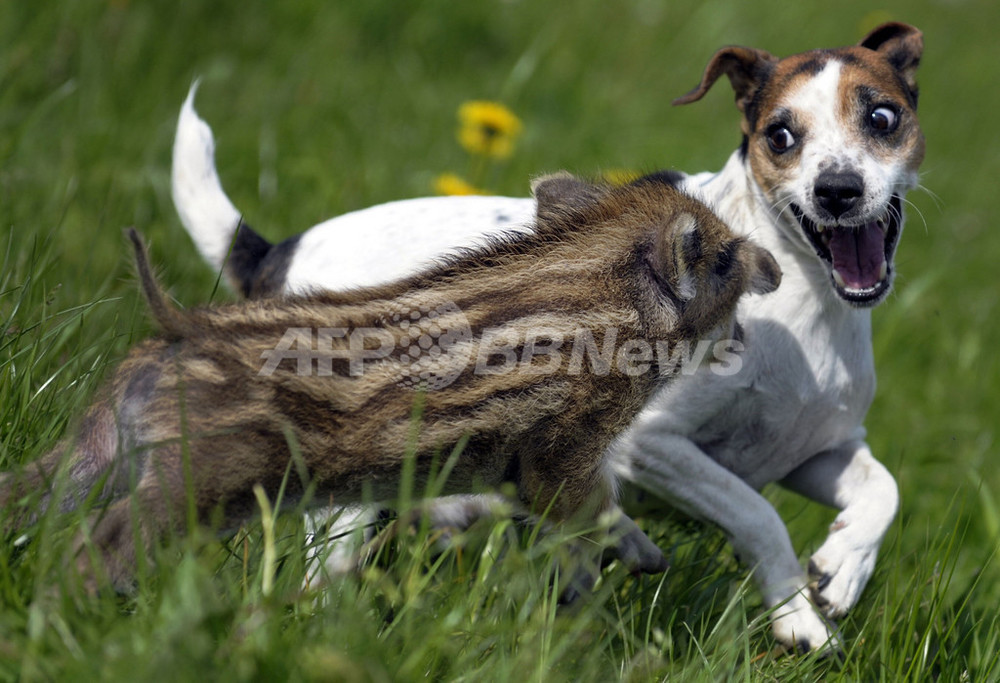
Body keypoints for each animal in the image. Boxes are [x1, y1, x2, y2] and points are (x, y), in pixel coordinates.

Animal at [170, 21, 920, 652]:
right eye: (780, 136)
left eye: (882, 118)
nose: (838, 190)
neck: (811, 303)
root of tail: (277, 255)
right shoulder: (653, 443)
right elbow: (756, 512)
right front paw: (798, 615)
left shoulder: (816, 451)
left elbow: (883, 489)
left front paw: (844, 566)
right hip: (342, 493)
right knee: (318, 578)